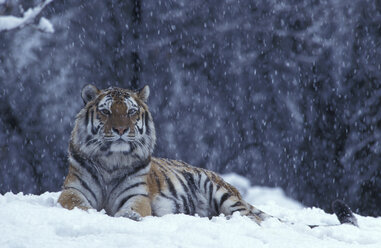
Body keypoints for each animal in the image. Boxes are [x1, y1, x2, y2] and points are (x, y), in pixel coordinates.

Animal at [58, 84, 358, 228]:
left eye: (131, 112)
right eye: (107, 111)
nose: (121, 130)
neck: (112, 160)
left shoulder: (137, 196)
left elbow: (132, 208)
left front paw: (128, 217)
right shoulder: (73, 190)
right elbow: (77, 205)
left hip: (220, 192)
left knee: (251, 218)